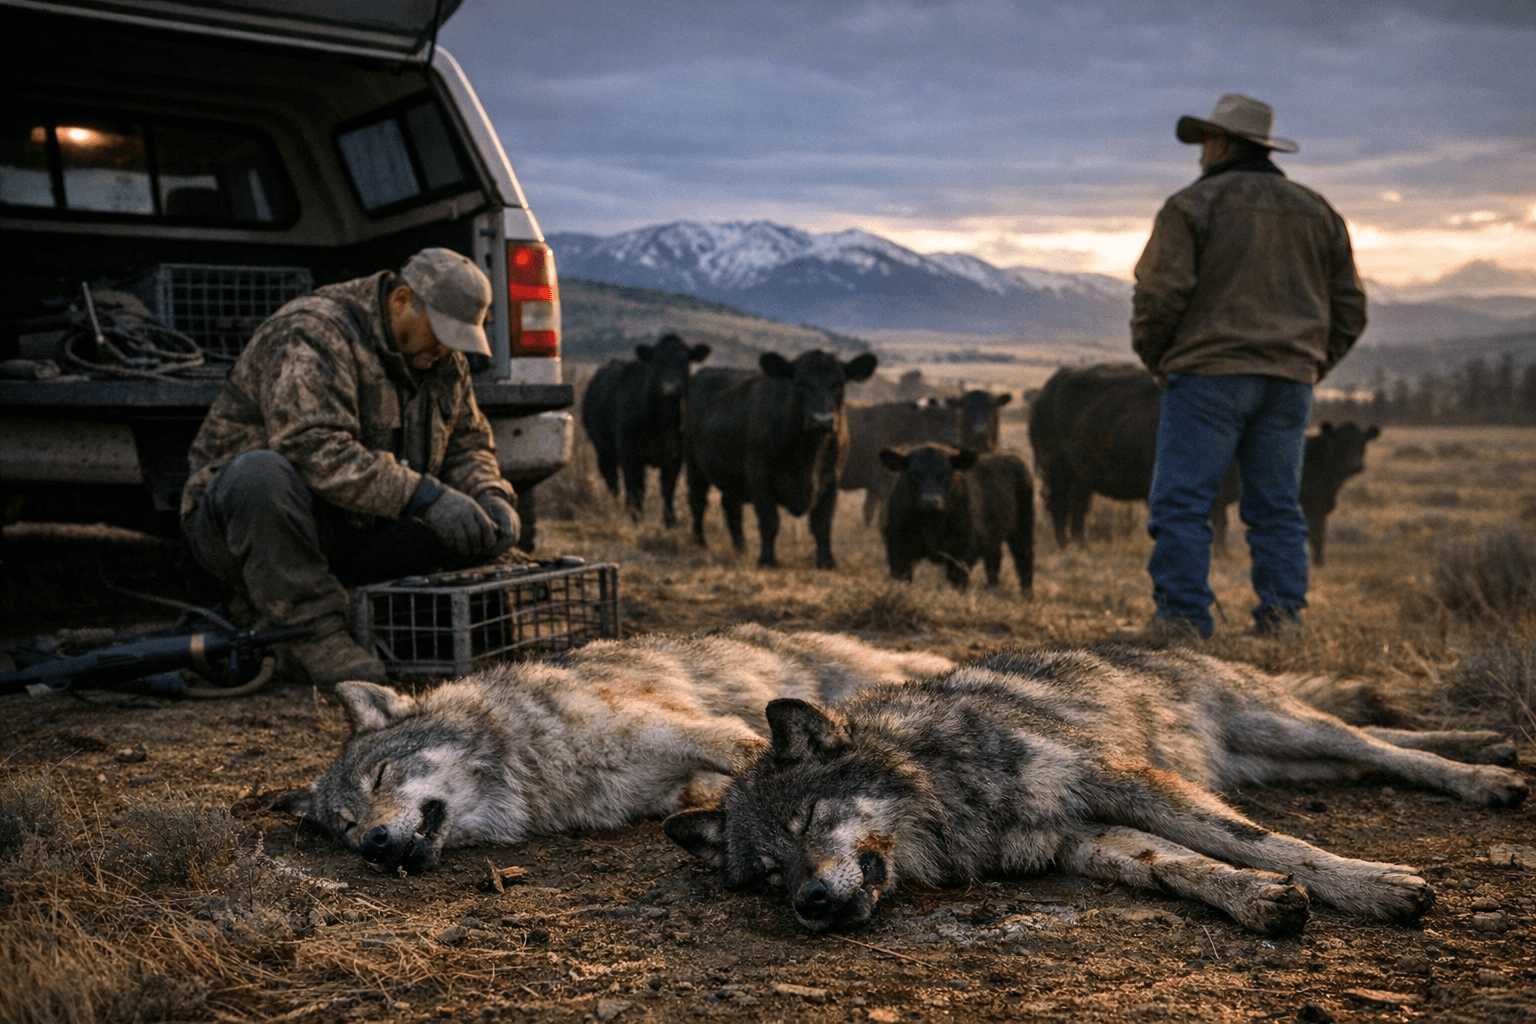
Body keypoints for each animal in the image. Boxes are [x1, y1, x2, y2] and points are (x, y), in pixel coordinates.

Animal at [274, 624, 953, 873]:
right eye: (346, 825)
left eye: (382, 776)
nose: (373, 842)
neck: (533, 761)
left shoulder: (671, 726)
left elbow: (738, 747)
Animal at [581, 333, 711, 526]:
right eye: (656, 362)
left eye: (685, 361)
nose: (670, 389)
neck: (662, 423)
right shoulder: (630, 454)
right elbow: (636, 488)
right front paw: (636, 519)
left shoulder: (675, 457)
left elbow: (668, 489)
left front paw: (670, 521)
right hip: (602, 449)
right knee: (613, 480)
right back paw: (617, 508)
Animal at [665, 644, 1526, 936]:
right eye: (769, 874)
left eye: (811, 820)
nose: (809, 903)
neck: (946, 789)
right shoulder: (1081, 837)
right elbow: (1178, 866)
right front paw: (1258, 901)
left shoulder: (1127, 783)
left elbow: (1266, 842)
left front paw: (1372, 886)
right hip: (1280, 759)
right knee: (1377, 748)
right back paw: (1490, 746)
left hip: (1283, 729)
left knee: (1375, 743)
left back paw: (1485, 775)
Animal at [686, 349, 878, 569]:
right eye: (800, 383)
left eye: (838, 383)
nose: (821, 420)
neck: (808, 455)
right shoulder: (759, 478)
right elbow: (769, 522)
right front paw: (767, 559)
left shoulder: (831, 480)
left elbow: (822, 524)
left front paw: (826, 561)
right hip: (694, 465)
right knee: (698, 501)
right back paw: (700, 543)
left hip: (730, 476)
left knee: (731, 505)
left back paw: (741, 547)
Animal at [878, 443, 1034, 594]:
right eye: (913, 474)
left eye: (947, 474)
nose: (930, 501)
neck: (931, 523)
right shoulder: (897, 548)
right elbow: (902, 578)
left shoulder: (963, 551)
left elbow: (957, 581)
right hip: (993, 539)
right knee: (994, 562)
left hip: (1024, 529)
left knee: (1024, 560)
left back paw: (1026, 595)